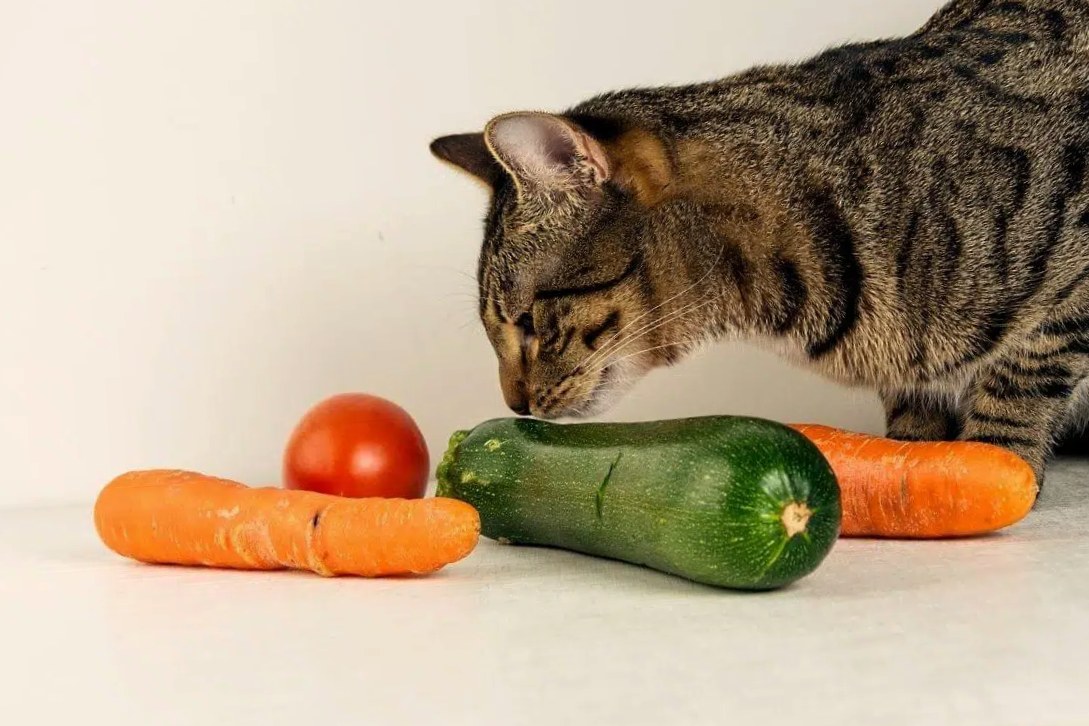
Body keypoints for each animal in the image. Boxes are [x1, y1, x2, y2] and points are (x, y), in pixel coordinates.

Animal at [431, 0, 1089, 483]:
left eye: (528, 323)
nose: (514, 407)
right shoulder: (912, 383)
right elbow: (915, 418)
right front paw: (919, 461)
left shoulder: (1067, 301)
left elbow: (1018, 389)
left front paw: (995, 464)